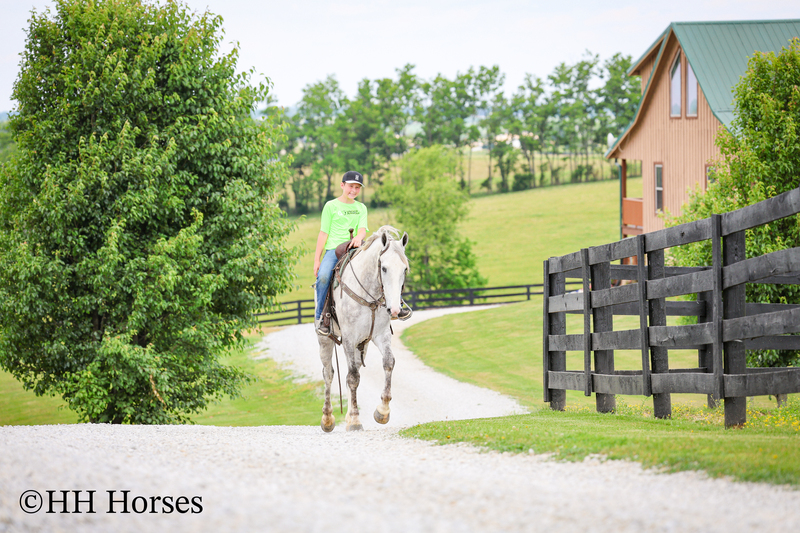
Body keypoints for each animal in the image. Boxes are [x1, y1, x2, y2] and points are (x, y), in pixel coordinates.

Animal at [316, 226, 409, 432]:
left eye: (405, 269)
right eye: (384, 268)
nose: (395, 309)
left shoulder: (381, 335)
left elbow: (388, 363)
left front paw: (382, 412)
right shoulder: (349, 338)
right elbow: (352, 377)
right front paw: (356, 421)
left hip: (362, 344)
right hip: (325, 340)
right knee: (328, 374)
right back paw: (327, 418)